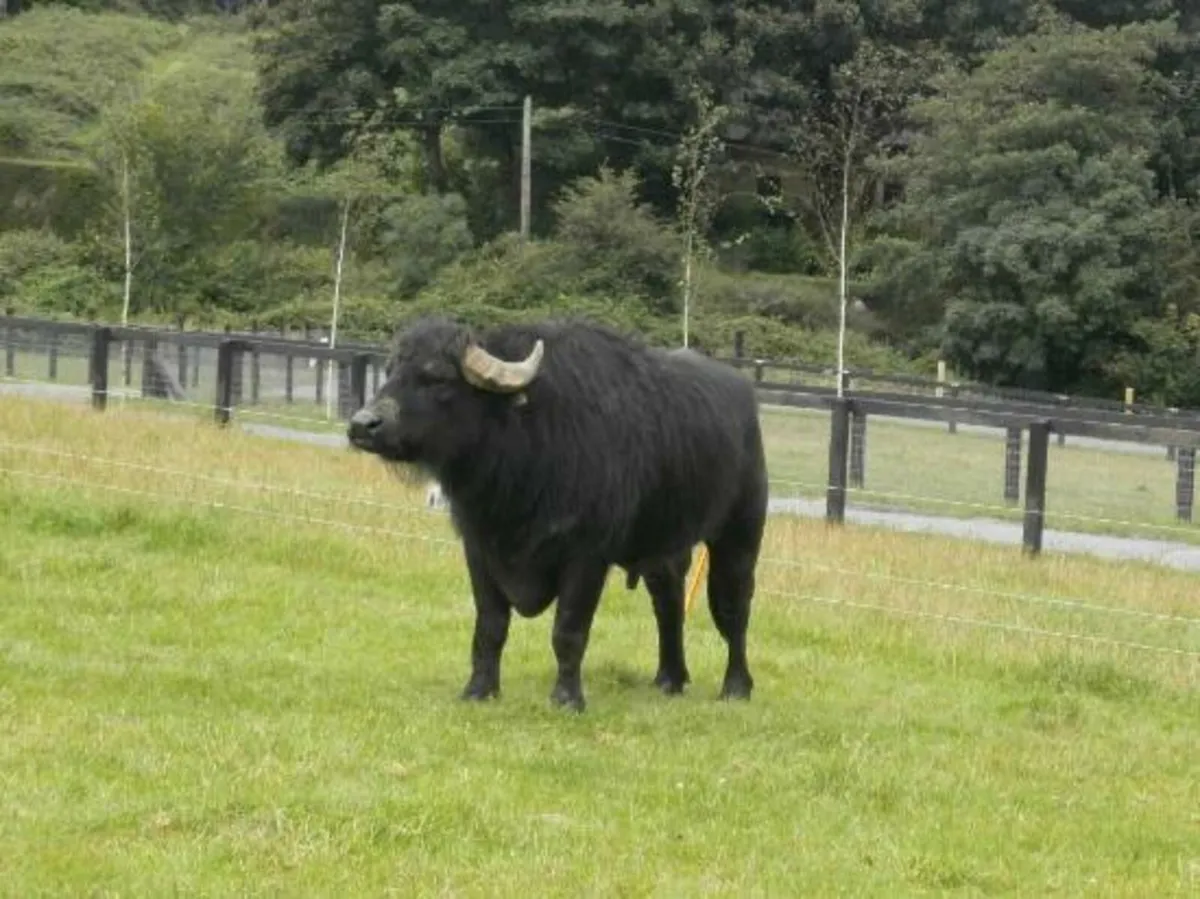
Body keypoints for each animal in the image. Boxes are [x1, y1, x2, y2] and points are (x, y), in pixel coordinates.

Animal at [347, 317, 769, 712]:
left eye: (436, 377)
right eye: (391, 370)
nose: (361, 425)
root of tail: (746, 399)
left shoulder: (586, 557)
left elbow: (568, 630)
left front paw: (567, 698)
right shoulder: (478, 548)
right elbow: (490, 625)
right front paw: (479, 690)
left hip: (740, 535)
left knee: (733, 607)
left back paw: (736, 686)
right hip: (665, 550)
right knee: (668, 604)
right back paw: (669, 678)